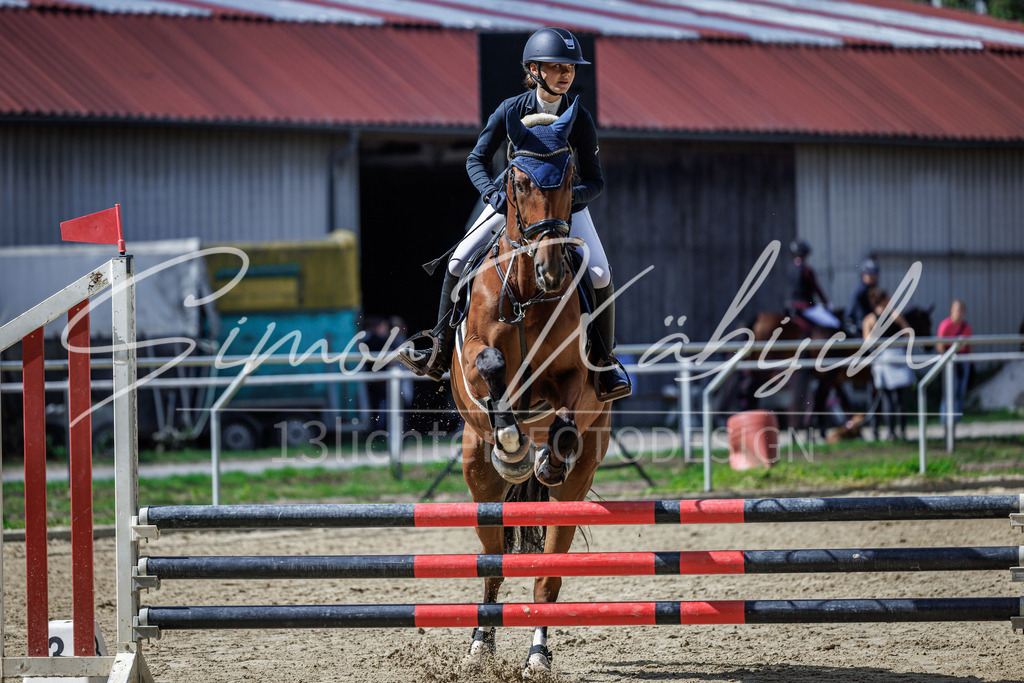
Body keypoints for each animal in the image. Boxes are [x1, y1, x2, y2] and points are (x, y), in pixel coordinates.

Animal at [448, 99, 611, 677]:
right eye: (517, 182)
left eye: (569, 176)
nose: (550, 271)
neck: (524, 294)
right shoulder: (476, 358)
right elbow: (492, 365)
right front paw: (513, 444)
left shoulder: (575, 381)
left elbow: (565, 410)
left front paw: (543, 455)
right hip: (478, 479)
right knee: (492, 563)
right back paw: (479, 646)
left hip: (577, 484)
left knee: (548, 575)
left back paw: (537, 654)